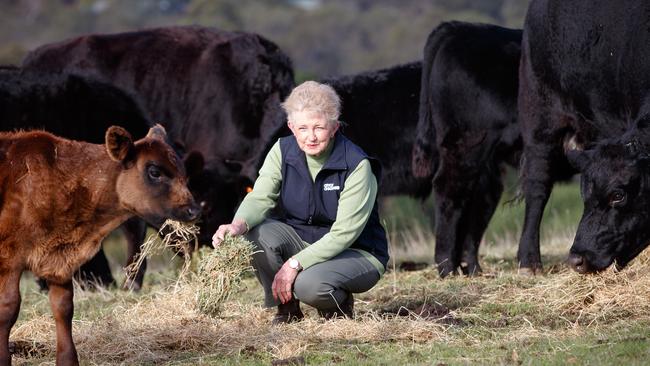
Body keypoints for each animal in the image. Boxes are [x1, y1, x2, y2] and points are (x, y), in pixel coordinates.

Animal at [0, 124, 197, 364]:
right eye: (154, 172)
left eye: (183, 172)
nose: (193, 209)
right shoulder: (10, 259)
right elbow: (8, 308)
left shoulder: (60, 258)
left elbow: (63, 307)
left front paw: (68, 359)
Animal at [410, 21, 520, 276]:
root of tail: (457, 27)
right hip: (467, 143)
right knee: (449, 189)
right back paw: (447, 267)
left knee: (479, 199)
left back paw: (470, 267)